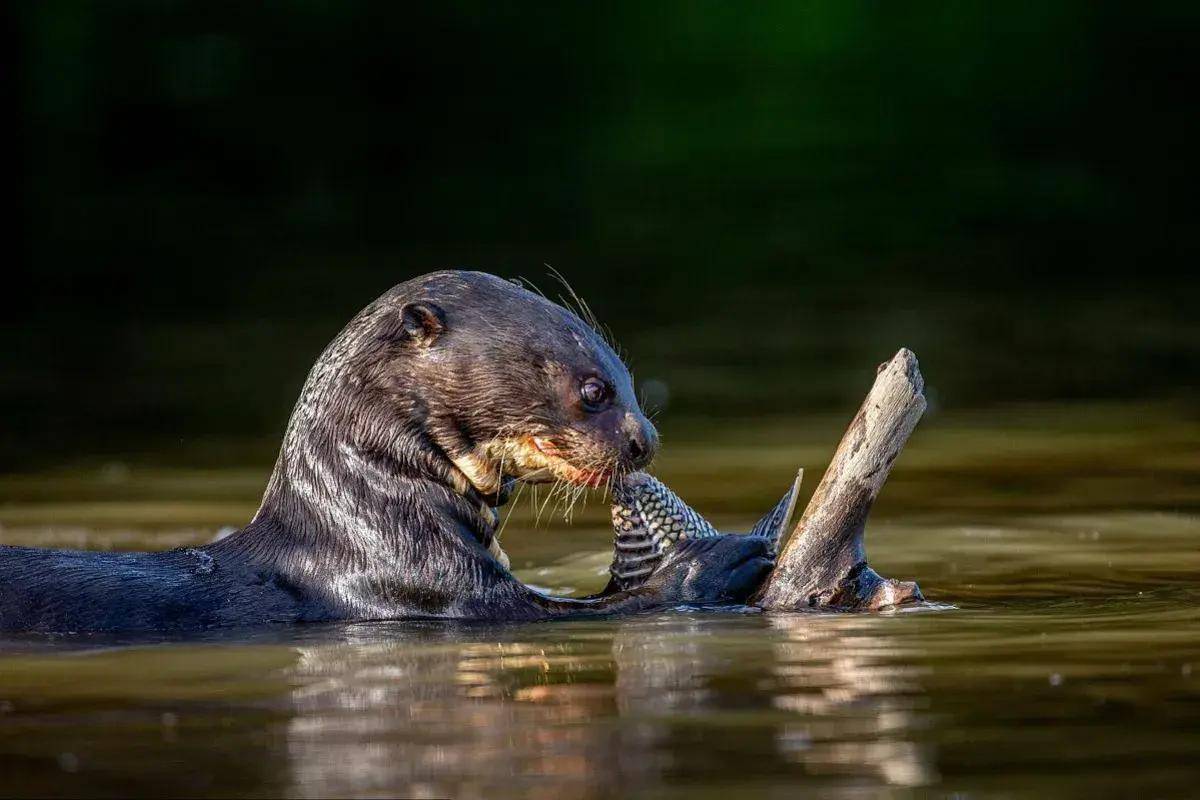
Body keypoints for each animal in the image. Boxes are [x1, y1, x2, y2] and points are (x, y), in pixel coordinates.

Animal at [0, 272, 772, 633]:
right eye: (593, 390)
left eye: (629, 378)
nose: (645, 441)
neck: (370, 516)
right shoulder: (416, 587)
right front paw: (720, 559)